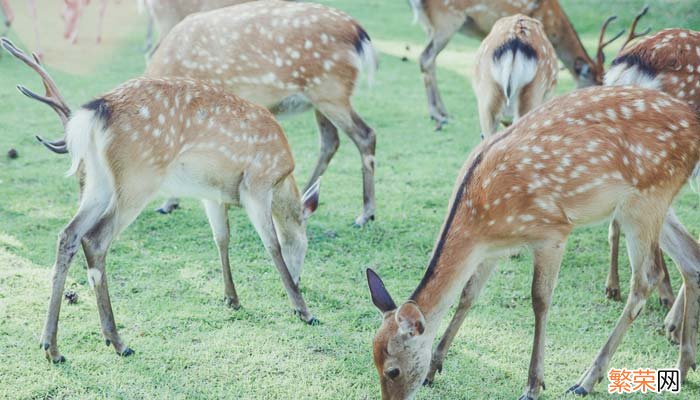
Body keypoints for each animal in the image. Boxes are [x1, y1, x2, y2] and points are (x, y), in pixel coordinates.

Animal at [0, 38, 322, 362]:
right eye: (305, 244)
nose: (299, 279)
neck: (282, 177)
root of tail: (95, 113)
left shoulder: (212, 194)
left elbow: (221, 238)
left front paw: (232, 298)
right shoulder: (256, 185)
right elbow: (272, 244)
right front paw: (303, 310)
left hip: (96, 182)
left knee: (68, 234)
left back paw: (51, 347)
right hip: (138, 178)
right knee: (95, 239)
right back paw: (117, 341)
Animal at [145, 0, 380, 225]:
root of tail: (359, 33)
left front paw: (171, 203)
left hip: (331, 91)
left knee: (365, 134)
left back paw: (365, 214)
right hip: (320, 99)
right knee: (330, 141)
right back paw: (305, 197)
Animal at [364, 85, 700, 400]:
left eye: (393, 370)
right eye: (373, 361)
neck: (479, 220)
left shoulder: (552, 233)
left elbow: (539, 299)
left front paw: (533, 385)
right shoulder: (490, 250)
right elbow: (468, 295)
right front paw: (435, 366)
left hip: (647, 197)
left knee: (647, 278)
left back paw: (586, 380)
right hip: (650, 203)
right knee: (691, 258)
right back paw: (684, 366)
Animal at [408, 0, 620, 129]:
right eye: (596, 83)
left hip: (432, 26)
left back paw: (442, 112)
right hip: (447, 19)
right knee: (426, 57)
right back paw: (437, 115)